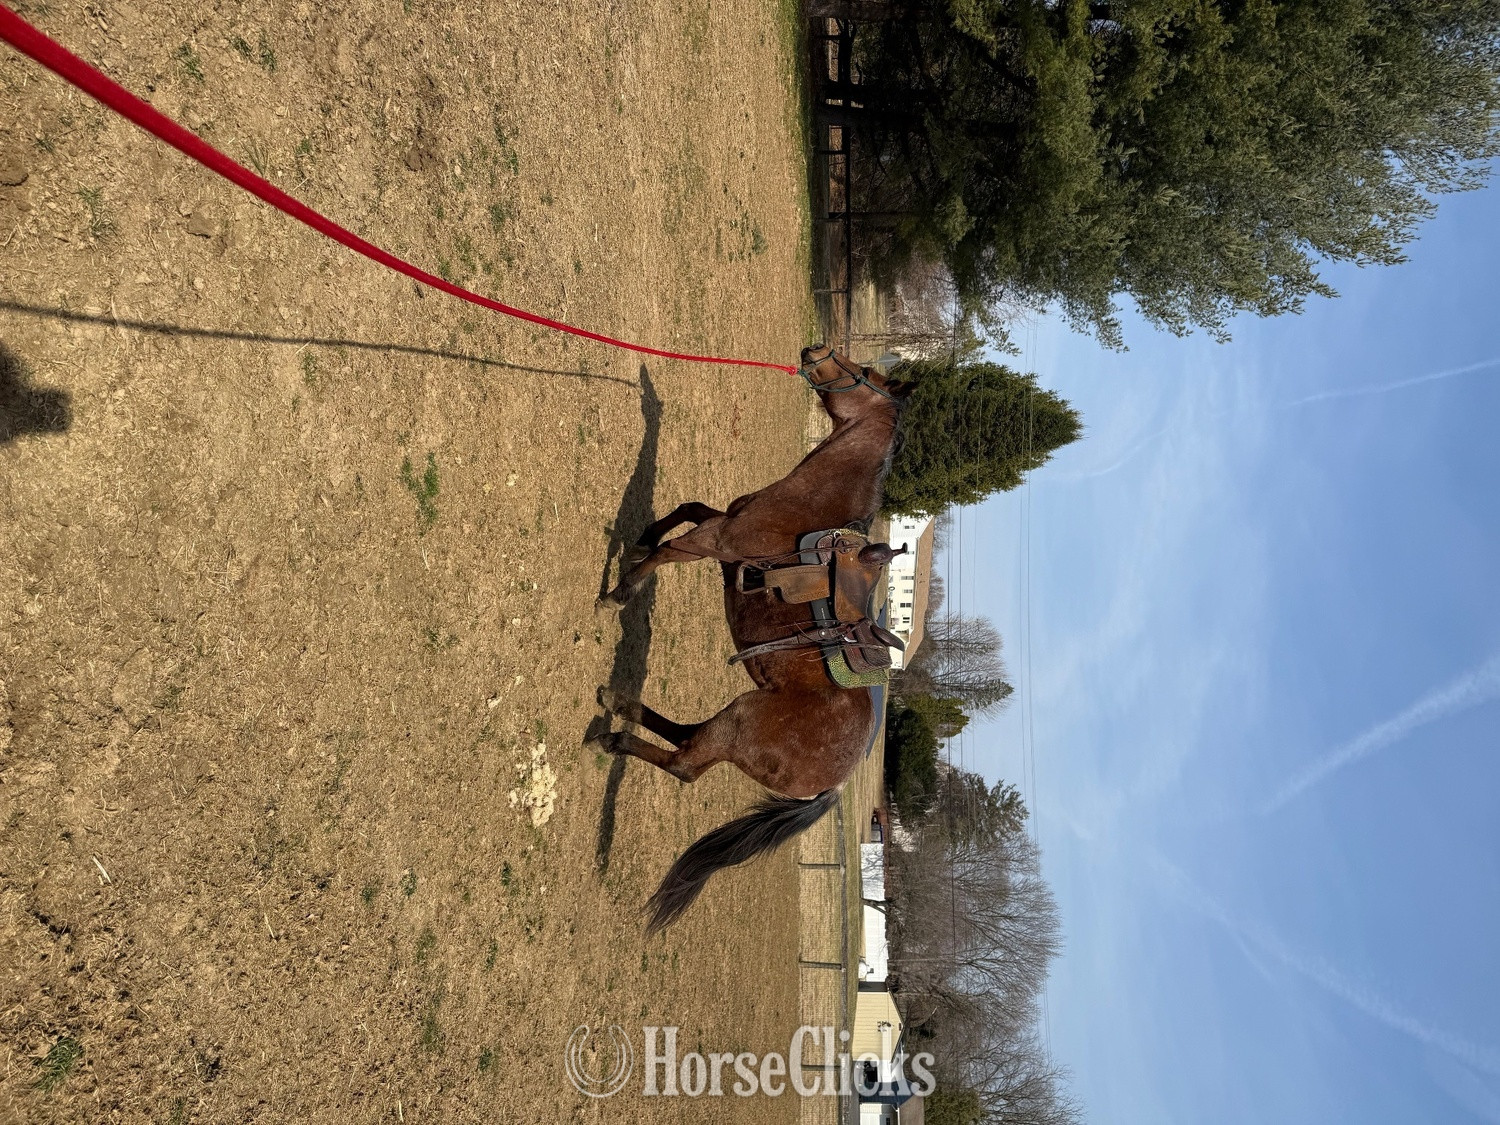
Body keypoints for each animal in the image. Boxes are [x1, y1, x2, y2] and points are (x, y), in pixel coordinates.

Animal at [594, 343, 911, 932]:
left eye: (862, 373)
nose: (814, 350)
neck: (807, 507)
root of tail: (837, 780)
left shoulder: (716, 542)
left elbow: (666, 553)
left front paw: (619, 593)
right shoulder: (719, 529)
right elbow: (686, 509)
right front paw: (641, 535)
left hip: (742, 719)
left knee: (686, 762)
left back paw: (614, 736)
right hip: (742, 712)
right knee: (687, 735)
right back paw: (620, 703)